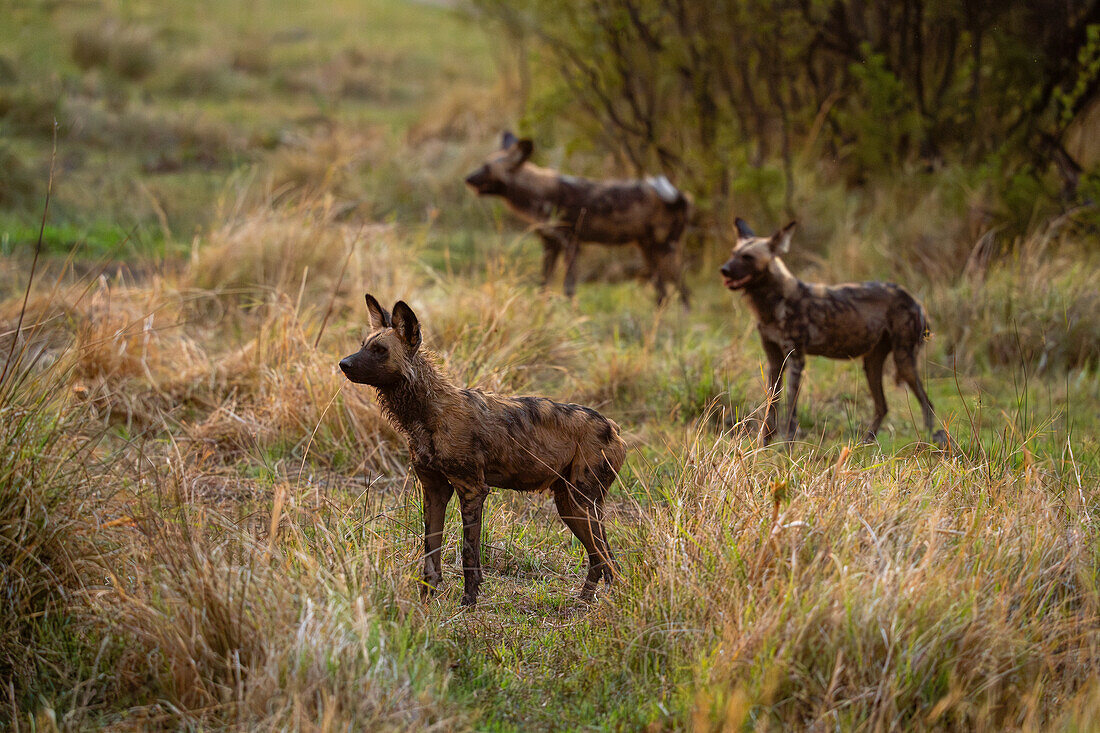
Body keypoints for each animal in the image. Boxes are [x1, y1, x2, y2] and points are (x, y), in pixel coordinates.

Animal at [334, 292, 629, 603]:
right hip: (569, 505)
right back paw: (585, 600)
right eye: (362, 345)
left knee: (610, 559)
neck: (427, 412)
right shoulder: (434, 490)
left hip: (583, 502)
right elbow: (430, 552)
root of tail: (612, 426)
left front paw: (469, 603)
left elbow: (469, 554)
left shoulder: (472, 489)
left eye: (379, 350)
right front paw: (426, 599)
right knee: (599, 557)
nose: (343, 363)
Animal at [462, 131, 686, 305]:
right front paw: (541, 309)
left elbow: (569, 288)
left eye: (486, 167)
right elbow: (543, 284)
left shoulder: (571, 244)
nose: (467, 178)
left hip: (665, 252)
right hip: (648, 252)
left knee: (684, 292)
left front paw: (570, 314)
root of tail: (680, 196)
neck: (537, 192)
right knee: (664, 295)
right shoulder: (550, 245)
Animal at [721, 216, 946, 444]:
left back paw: (926, 442)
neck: (771, 303)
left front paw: (787, 447)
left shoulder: (795, 360)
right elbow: (770, 411)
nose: (724, 269)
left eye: (747, 257)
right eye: (733, 253)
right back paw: (865, 444)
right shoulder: (775, 363)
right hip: (872, 364)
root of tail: (913, 298)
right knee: (883, 406)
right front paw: (763, 446)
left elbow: (790, 413)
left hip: (903, 360)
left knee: (927, 404)